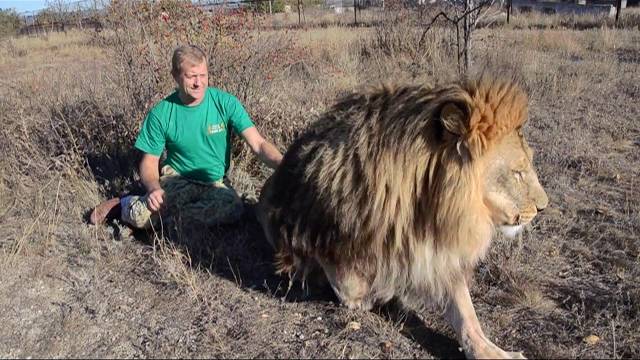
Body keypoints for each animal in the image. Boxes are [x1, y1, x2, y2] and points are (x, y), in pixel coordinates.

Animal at [258, 74, 548, 358]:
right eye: (518, 172)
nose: (543, 207)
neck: (422, 206)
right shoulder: (321, 240)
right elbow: (351, 286)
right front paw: (379, 292)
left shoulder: (439, 249)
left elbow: (466, 312)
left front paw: (491, 350)